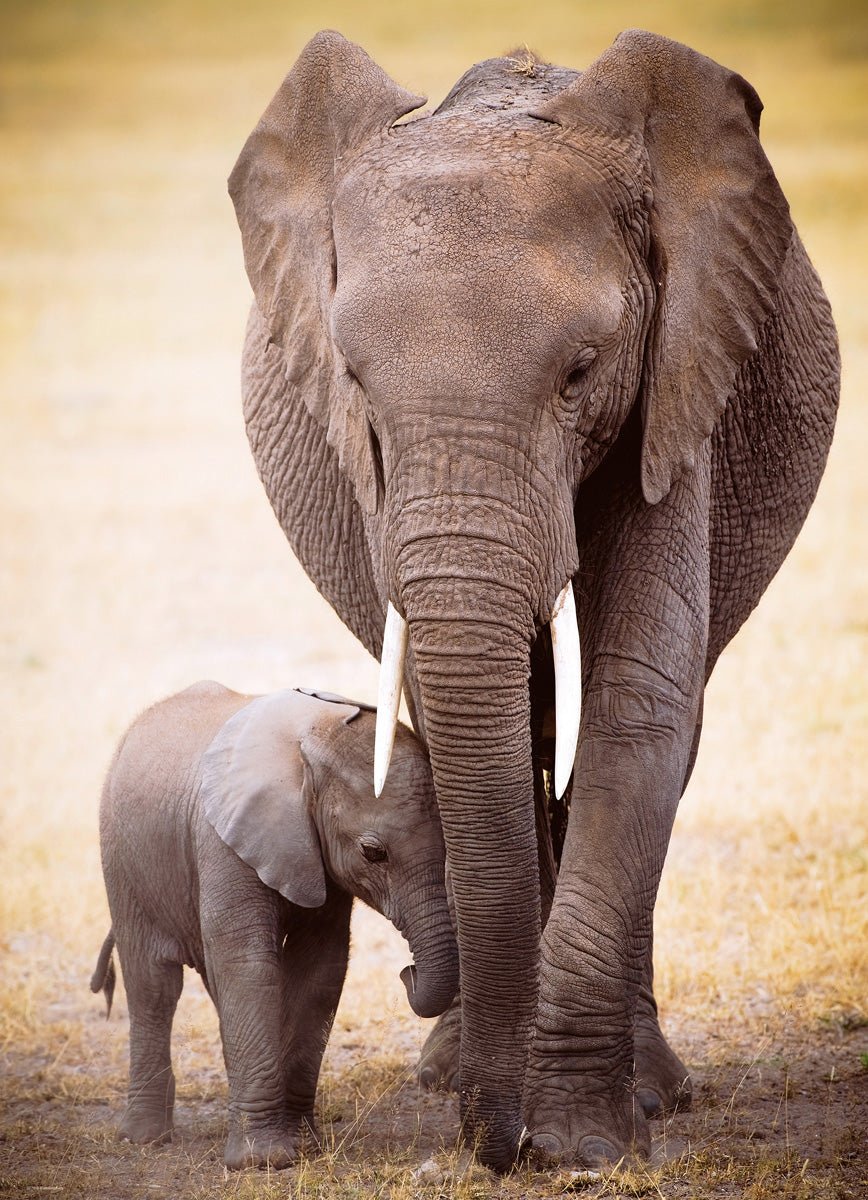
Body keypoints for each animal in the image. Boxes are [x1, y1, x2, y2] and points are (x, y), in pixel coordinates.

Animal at [92, 682, 458, 1170]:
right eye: (373, 853)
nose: (408, 972)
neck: (311, 743)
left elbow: (319, 970)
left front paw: (304, 1146)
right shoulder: (222, 840)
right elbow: (249, 965)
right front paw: (262, 1162)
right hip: (122, 861)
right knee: (154, 984)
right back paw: (145, 1138)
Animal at [227, 30, 839, 1171]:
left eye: (581, 372)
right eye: (352, 380)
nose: (494, 1144)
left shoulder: (679, 377)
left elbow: (639, 698)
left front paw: (584, 1144)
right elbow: (475, 709)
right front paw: (523, 1114)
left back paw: (649, 1090)